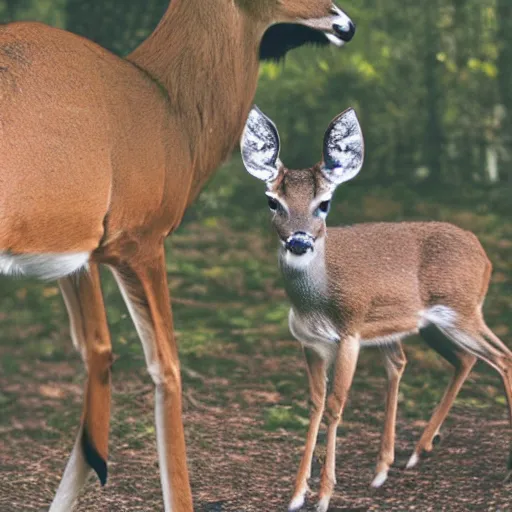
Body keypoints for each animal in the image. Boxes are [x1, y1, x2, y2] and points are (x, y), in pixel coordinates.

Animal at [0, 1, 356, 512]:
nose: (345, 23)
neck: (172, 113)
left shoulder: (79, 252)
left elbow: (98, 351)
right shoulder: (141, 238)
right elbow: (166, 370)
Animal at [240, 107, 512, 512]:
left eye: (325, 203)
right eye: (273, 201)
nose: (300, 242)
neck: (316, 301)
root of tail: (485, 257)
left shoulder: (350, 333)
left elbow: (336, 404)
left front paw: (324, 495)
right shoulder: (310, 343)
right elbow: (315, 404)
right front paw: (296, 494)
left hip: (462, 310)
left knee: (502, 356)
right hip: (430, 324)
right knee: (465, 359)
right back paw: (413, 453)